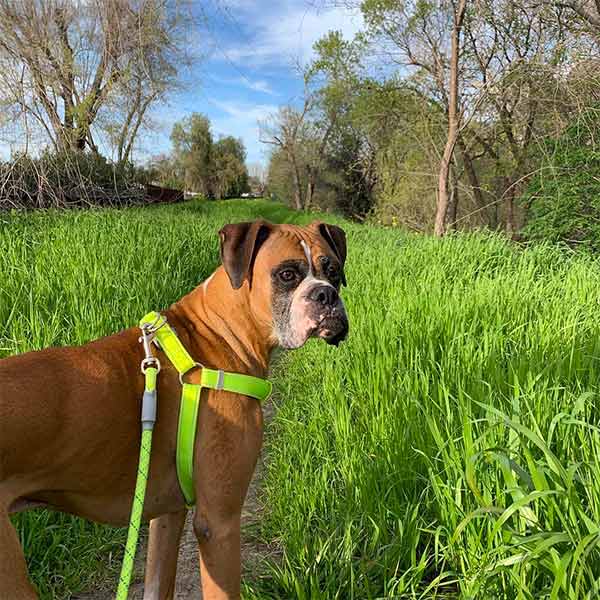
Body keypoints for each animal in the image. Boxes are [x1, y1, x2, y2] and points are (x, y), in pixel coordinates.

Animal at [0, 220, 346, 600]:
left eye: (333, 270)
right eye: (287, 274)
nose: (326, 295)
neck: (218, 333)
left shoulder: (167, 515)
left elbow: (157, 584)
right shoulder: (219, 524)